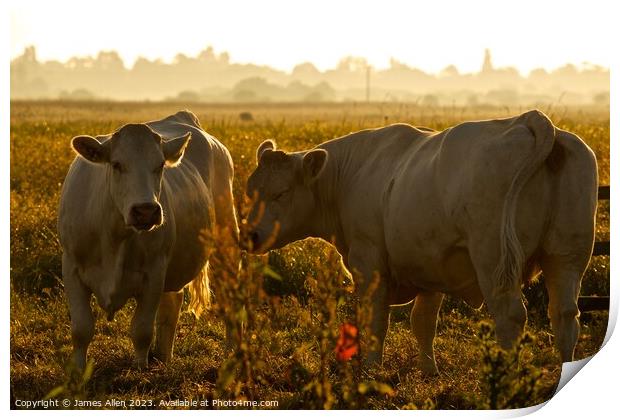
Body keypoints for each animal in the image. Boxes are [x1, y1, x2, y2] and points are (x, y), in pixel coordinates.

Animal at [58, 110, 239, 370]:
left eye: (160, 165)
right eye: (117, 164)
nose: (145, 210)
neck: (114, 236)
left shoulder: (154, 272)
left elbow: (141, 330)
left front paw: (140, 369)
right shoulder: (71, 267)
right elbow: (81, 329)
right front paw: (79, 370)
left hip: (227, 239)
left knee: (231, 298)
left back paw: (231, 351)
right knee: (172, 303)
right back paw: (164, 357)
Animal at [245, 109, 600, 374]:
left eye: (281, 193)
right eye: (251, 192)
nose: (251, 235)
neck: (352, 174)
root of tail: (528, 120)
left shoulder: (369, 264)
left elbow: (375, 321)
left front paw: (370, 369)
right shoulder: (432, 266)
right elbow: (423, 323)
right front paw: (429, 371)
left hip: (494, 258)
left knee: (511, 315)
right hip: (567, 255)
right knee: (565, 315)